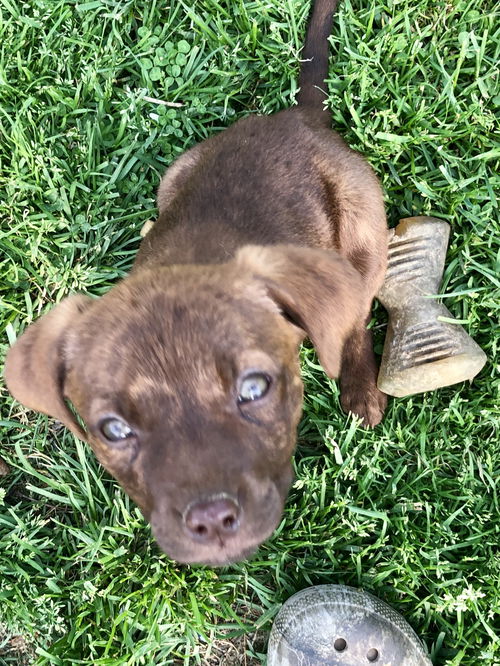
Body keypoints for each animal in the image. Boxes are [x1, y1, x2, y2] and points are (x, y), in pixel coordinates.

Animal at [3, 0, 386, 564]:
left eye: (254, 388)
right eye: (113, 429)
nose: (211, 520)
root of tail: (298, 118)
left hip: (364, 227)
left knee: (355, 314)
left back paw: (361, 389)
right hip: (176, 175)